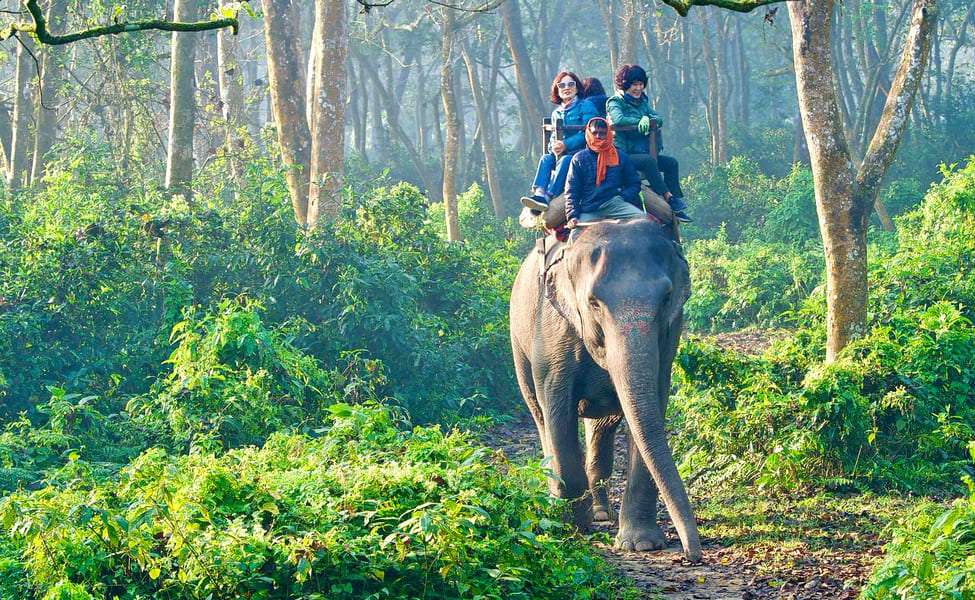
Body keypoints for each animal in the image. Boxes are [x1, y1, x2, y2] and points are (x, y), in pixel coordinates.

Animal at [509, 216, 701, 562]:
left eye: (666, 298)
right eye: (593, 302)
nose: (692, 553)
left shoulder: (671, 335)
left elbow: (651, 408)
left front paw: (641, 544)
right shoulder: (553, 331)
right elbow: (557, 410)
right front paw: (573, 528)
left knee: (602, 426)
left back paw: (601, 513)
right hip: (518, 344)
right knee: (540, 416)